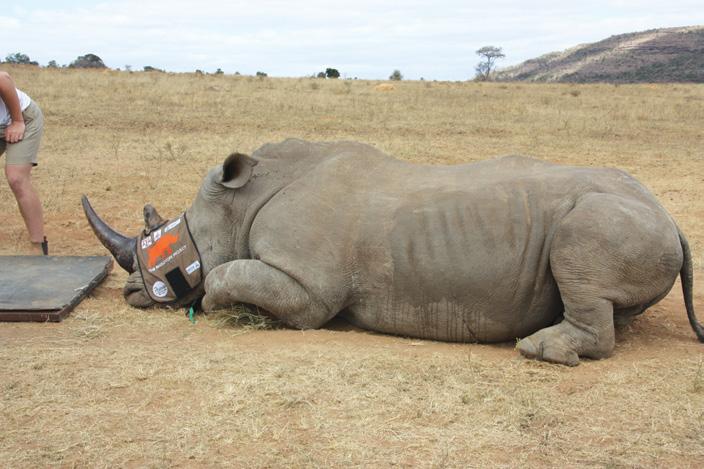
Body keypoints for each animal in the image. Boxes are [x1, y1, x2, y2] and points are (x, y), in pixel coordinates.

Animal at [82, 139, 703, 365]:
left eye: (161, 249)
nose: (131, 290)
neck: (244, 200)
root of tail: (673, 222)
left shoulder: (309, 289)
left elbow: (228, 277)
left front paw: (214, 304)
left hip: (608, 219)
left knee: (581, 249)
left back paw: (540, 350)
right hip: (637, 218)